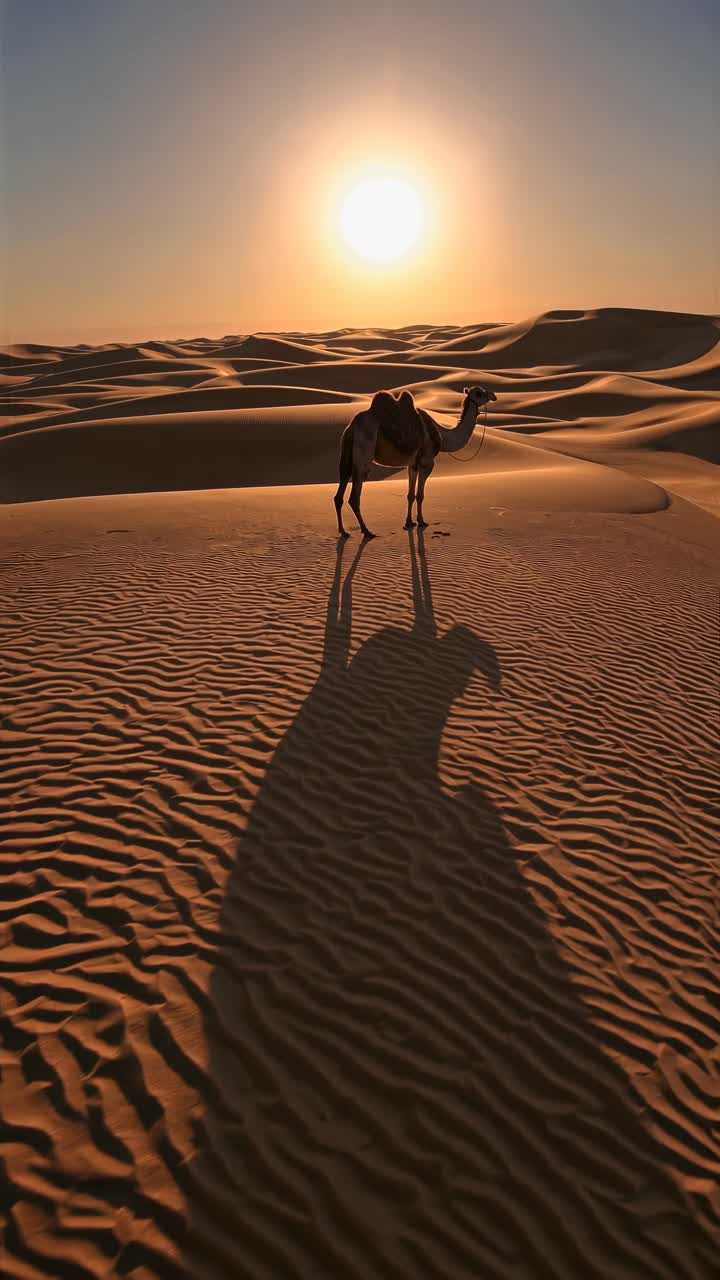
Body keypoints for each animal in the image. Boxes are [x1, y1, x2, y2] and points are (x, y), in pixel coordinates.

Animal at [333, 384, 497, 537]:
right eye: (479, 393)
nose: (493, 395)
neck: (442, 436)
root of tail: (352, 427)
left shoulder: (412, 464)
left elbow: (410, 495)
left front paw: (409, 522)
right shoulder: (426, 461)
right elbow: (420, 495)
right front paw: (421, 521)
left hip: (346, 456)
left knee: (338, 495)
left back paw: (343, 531)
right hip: (363, 454)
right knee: (354, 498)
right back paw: (366, 531)